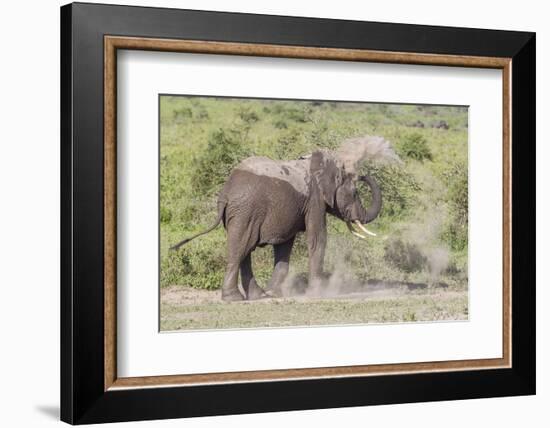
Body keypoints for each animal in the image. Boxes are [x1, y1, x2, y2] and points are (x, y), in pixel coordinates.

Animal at [171, 135, 392, 300]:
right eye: (354, 193)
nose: (362, 174)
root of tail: (226, 192)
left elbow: (285, 245)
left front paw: (274, 293)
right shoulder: (314, 199)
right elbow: (318, 238)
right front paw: (317, 294)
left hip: (241, 213)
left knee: (244, 250)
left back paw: (258, 296)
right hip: (246, 211)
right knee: (241, 247)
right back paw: (234, 298)